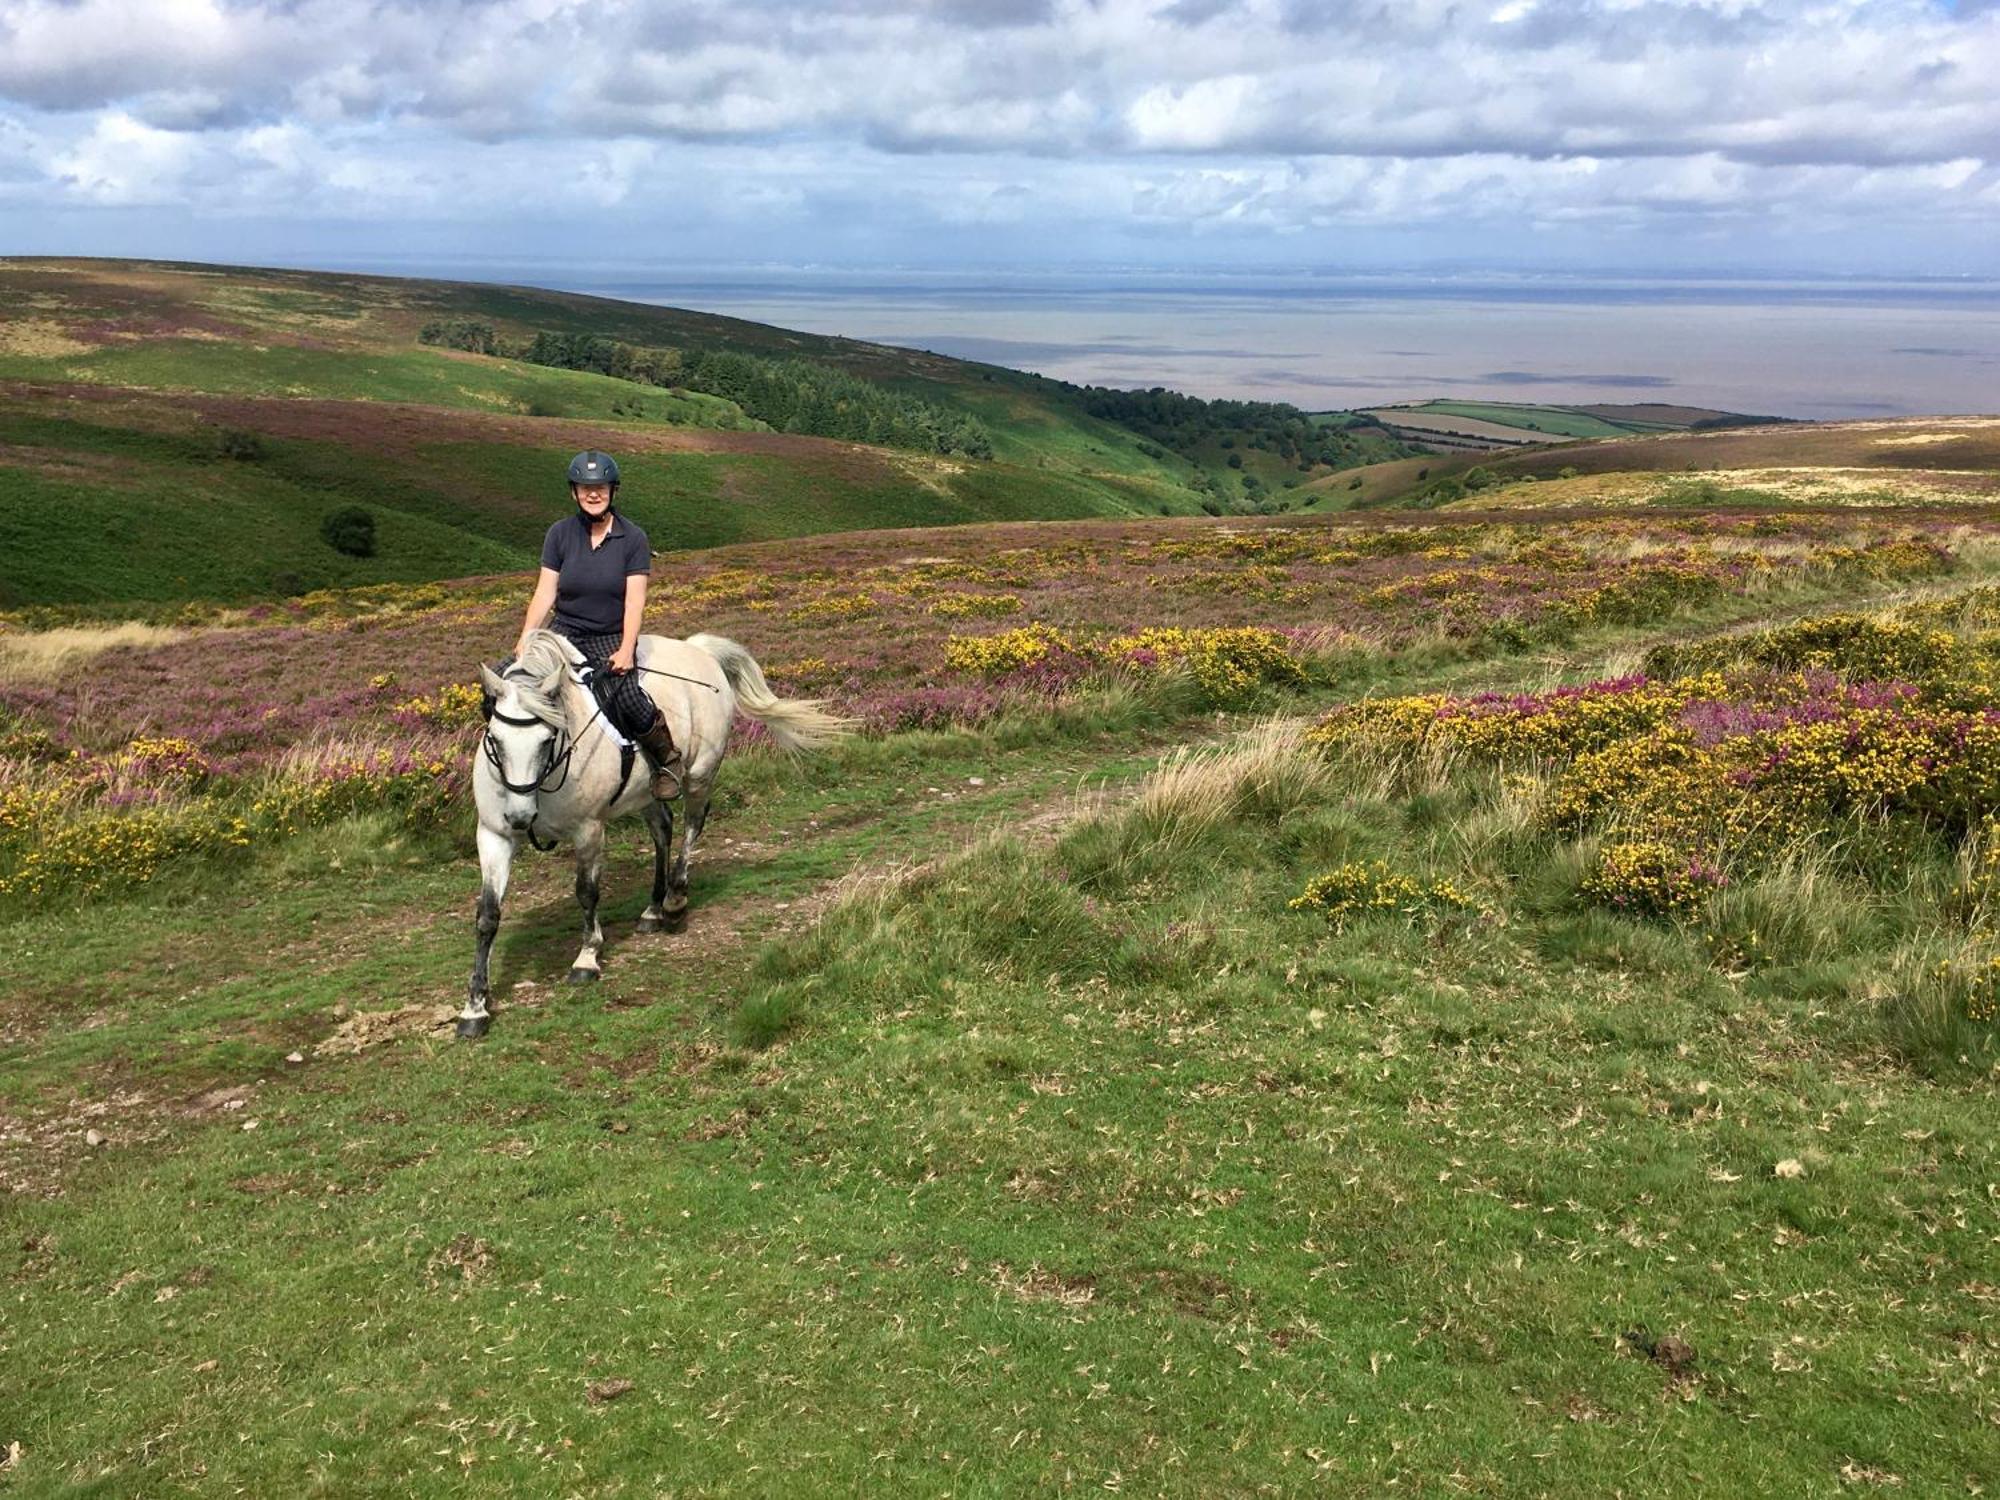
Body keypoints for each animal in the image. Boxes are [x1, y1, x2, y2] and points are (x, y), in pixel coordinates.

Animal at [464, 628, 848, 1040]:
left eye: (547, 740)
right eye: (495, 740)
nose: (522, 817)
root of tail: (697, 649)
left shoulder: (588, 830)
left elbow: (586, 893)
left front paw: (587, 957)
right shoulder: (494, 836)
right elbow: (488, 915)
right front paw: (475, 1007)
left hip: (700, 774)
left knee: (693, 824)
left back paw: (675, 900)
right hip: (645, 792)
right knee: (663, 828)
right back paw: (652, 908)